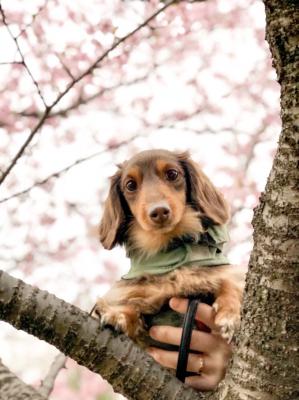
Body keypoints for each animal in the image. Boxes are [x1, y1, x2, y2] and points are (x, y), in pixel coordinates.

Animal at [95, 150, 245, 346]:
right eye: (130, 185)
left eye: (172, 174)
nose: (159, 212)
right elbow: (132, 307)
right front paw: (117, 315)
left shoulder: (216, 274)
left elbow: (228, 280)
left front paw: (230, 314)